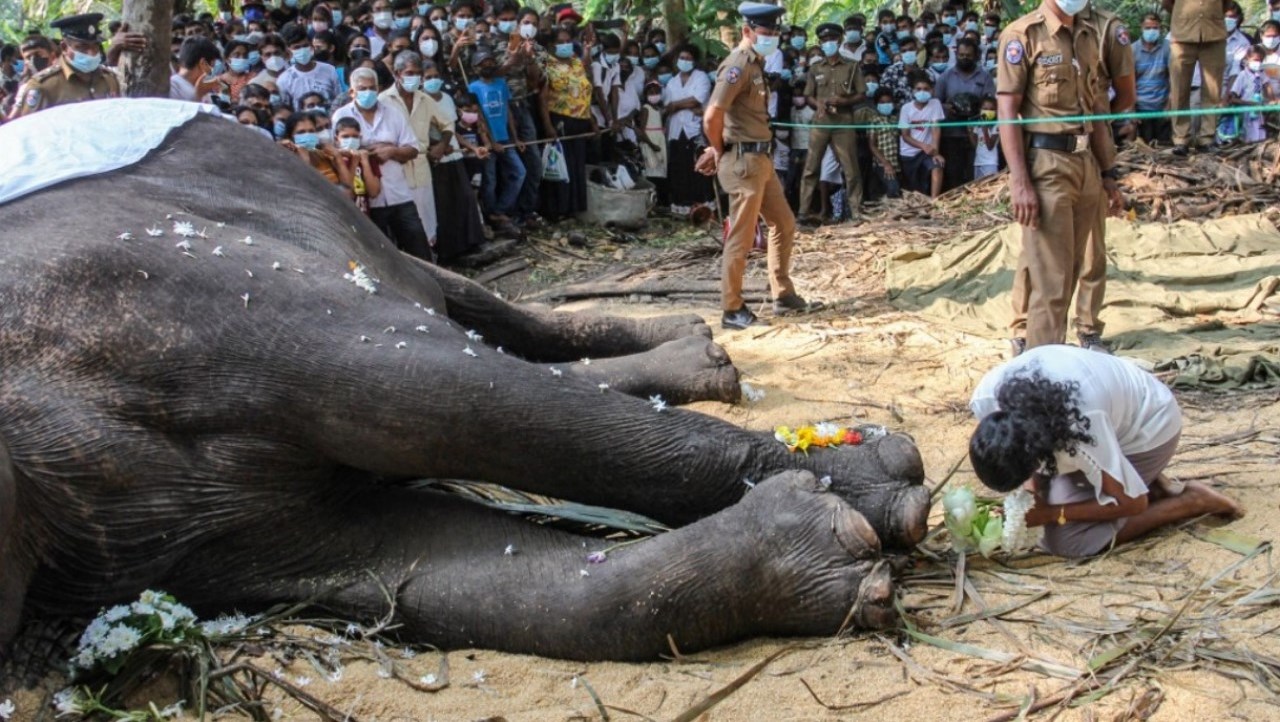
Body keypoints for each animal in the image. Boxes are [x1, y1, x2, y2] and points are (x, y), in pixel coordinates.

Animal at [0, 101, 930, 666]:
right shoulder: (149, 543)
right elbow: (449, 581)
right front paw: (828, 549)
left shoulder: (170, 285)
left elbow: (439, 393)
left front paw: (883, 485)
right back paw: (698, 356)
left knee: (479, 316)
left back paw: (699, 350)